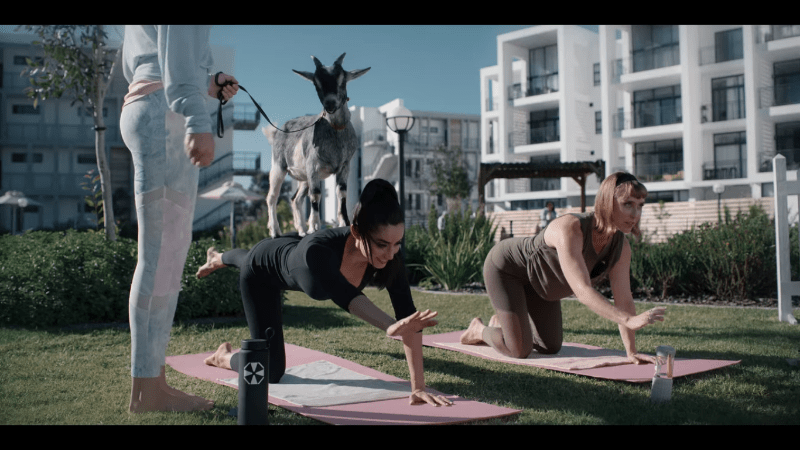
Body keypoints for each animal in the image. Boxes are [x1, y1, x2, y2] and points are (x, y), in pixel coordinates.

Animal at [266, 52, 372, 237]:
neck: (335, 132)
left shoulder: (345, 165)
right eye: (316, 84)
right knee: (272, 197)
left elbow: (342, 192)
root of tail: (277, 131)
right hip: (279, 166)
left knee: (295, 199)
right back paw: (275, 231)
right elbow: (315, 195)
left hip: (303, 177)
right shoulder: (313, 165)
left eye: (342, 80)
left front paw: (344, 222)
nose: (330, 104)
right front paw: (315, 226)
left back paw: (301, 231)